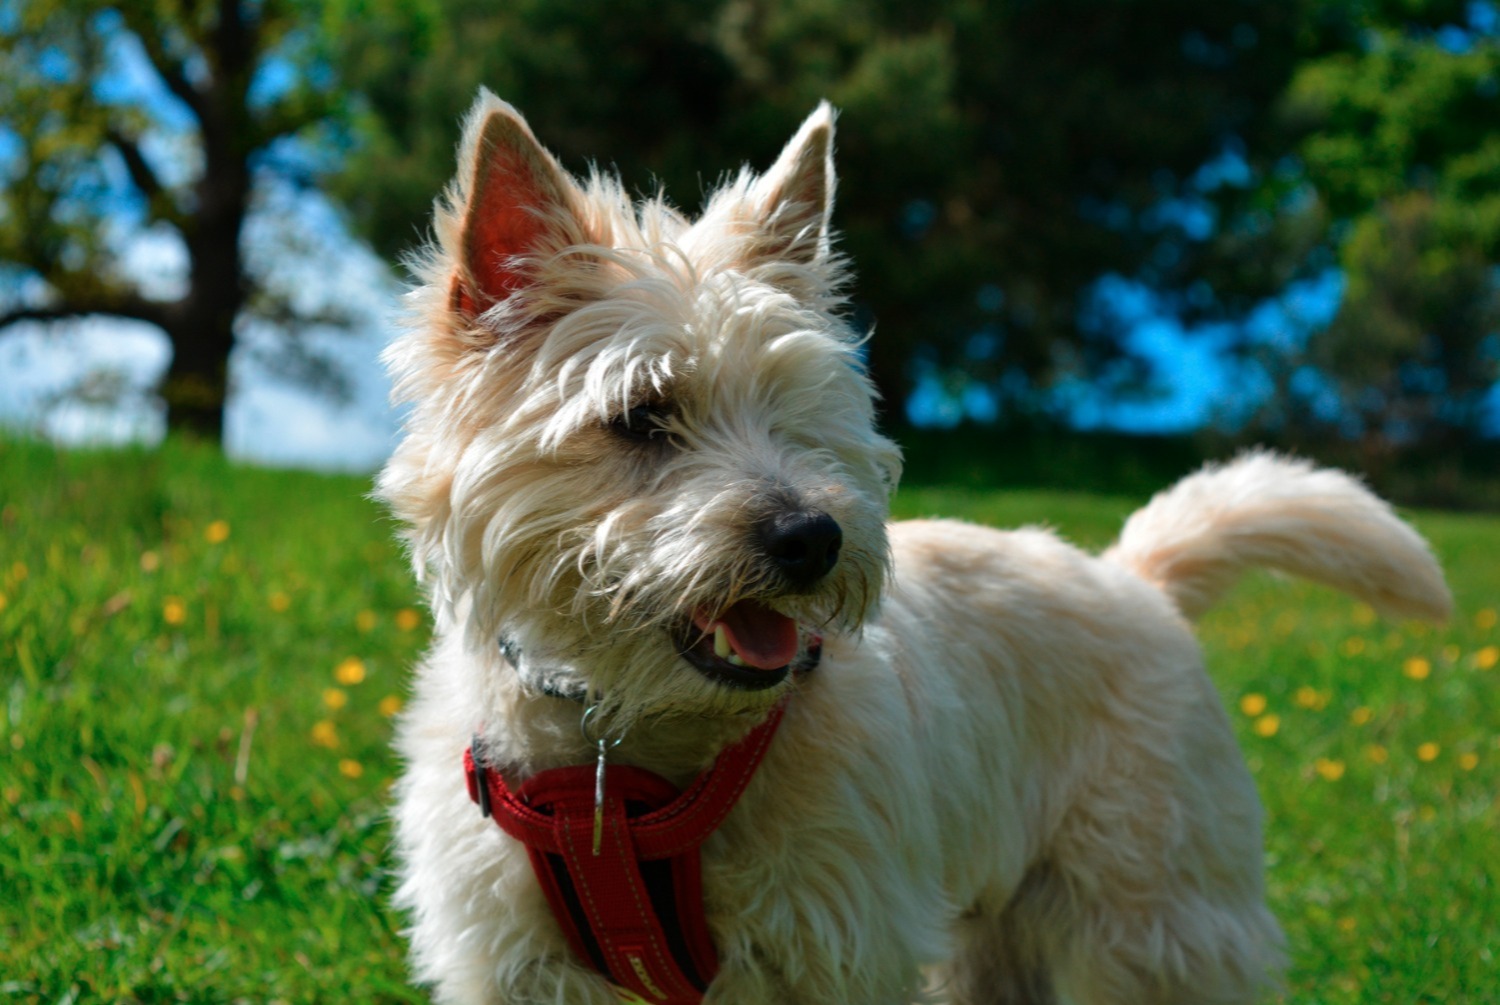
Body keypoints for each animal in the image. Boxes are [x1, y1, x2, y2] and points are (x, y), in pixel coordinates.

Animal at [378, 88, 1452, 1005]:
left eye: (800, 410)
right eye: (642, 416)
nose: (812, 538)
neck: (626, 762)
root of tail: (1132, 577)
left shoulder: (839, 942)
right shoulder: (516, 963)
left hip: (1157, 910)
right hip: (1002, 931)